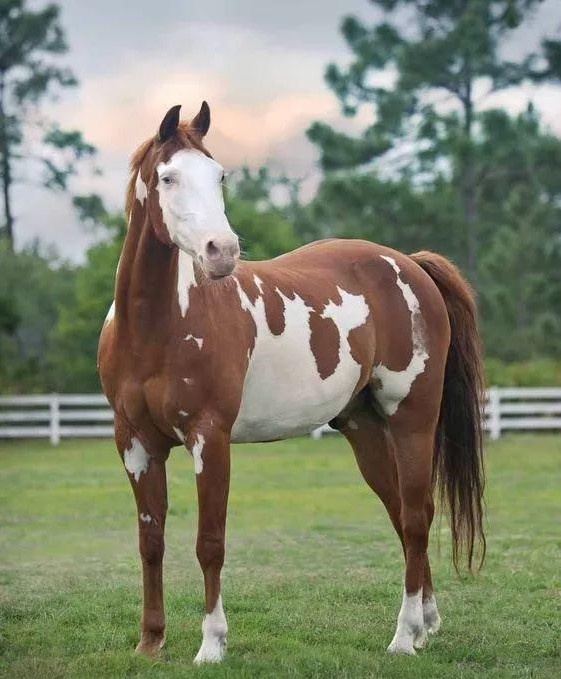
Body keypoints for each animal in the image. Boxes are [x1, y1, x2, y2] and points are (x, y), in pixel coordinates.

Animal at [97, 102, 486, 663]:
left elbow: (209, 542)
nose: (222, 251)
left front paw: (212, 644)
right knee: (400, 514)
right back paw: (425, 624)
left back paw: (403, 636)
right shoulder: (135, 444)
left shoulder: (209, 438)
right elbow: (151, 542)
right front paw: (150, 642)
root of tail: (409, 266)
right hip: (365, 429)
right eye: (167, 177)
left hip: (412, 419)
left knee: (416, 514)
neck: (155, 328)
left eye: (219, 176)